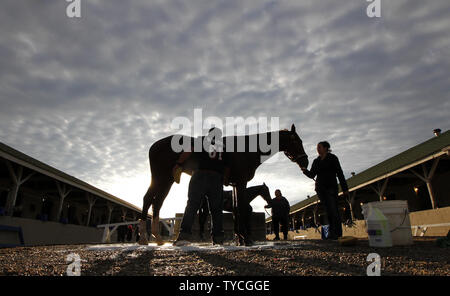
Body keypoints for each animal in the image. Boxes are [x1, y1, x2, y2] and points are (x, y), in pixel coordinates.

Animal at [139, 124, 308, 245]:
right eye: (297, 141)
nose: (305, 161)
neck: (247, 150)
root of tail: (155, 145)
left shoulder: (234, 185)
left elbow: (237, 209)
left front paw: (240, 238)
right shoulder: (241, 182)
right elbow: (241, 208)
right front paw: (246, 238)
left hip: (167, 180)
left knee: (157, 203)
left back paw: (157, 238)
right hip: (160, 178)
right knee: (148, 199)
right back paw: (144, 238)